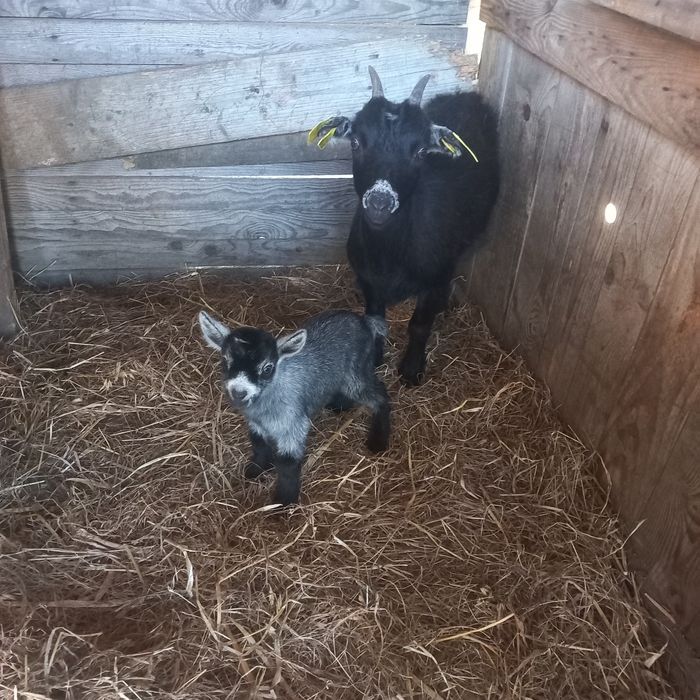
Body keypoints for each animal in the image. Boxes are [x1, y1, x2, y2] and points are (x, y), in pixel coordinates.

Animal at [198, 309, 391, 506]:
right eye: (225, 360)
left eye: (267, 368)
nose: (238, 392)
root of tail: (364, 321)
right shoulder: (256, 424)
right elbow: (258, 444)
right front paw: (255, 470)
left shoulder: (294, 424)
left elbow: (287, 464)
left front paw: (283, 502)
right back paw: (339, 406)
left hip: (356, 374)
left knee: (380, 395)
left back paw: (378, 440)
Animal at [309, 67, 500, 384]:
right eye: (356, 142)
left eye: (421, 151)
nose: (379, 203)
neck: (389, 255)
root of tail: (465, 94)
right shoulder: (368, 278)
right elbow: (374, 321)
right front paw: (374, 358)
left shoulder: (434, 278)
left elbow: (420, 323)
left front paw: (411, 369)